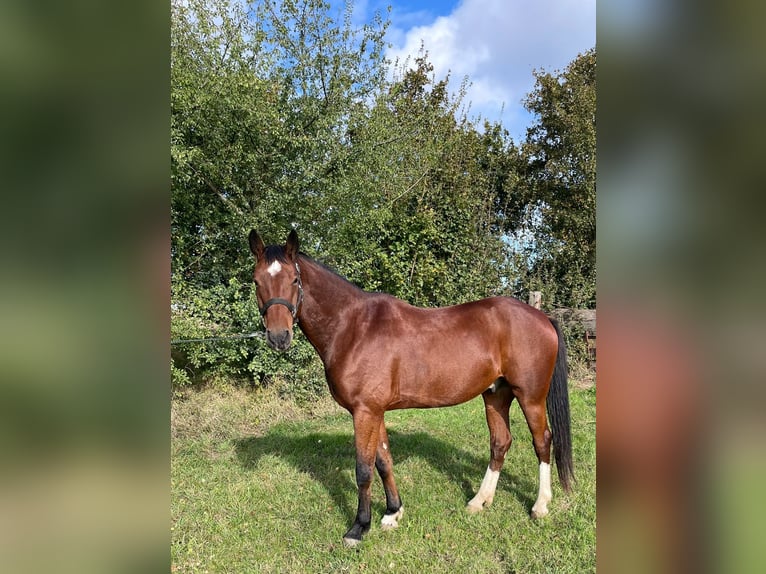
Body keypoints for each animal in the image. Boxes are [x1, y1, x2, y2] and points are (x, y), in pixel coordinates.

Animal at [249, 231, 572, 548]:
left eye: (294, 279)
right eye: (256, 281)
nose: (278, 337)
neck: (353, 327)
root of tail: (542, 317)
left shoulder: (364, 412)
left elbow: (363, 469)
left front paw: (359, 528)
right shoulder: (374, 410)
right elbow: (383, 461)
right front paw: (393, 512)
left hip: (530, 397)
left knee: (543, 441)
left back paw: (540, 505)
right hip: (496, 395)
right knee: (500, 442)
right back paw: (479, 501)